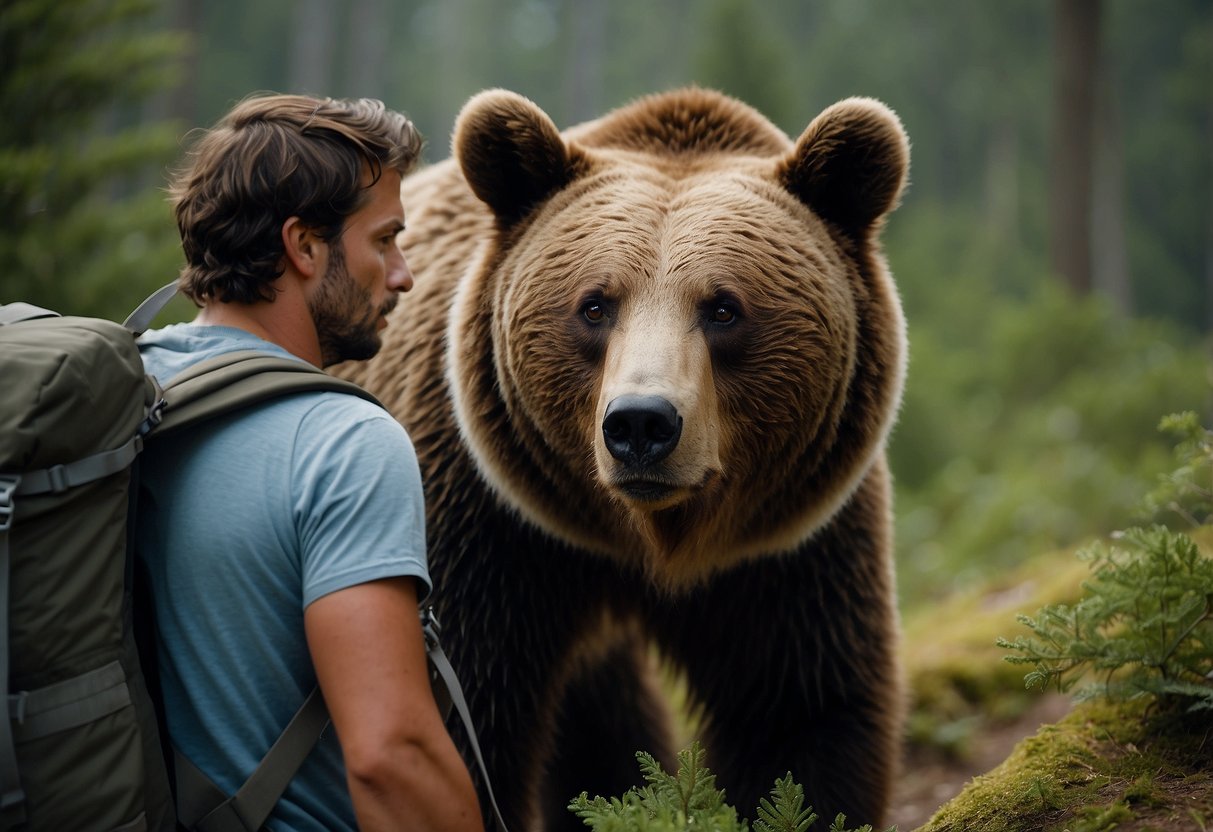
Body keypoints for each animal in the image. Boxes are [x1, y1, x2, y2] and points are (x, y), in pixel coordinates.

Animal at [337, 87, 907, 829]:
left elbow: (799, 715)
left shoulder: (787, 547)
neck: (640, 540)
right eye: (595, 305)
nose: (641, 423)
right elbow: (463, 713)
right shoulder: (482, 521)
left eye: (724, 308)